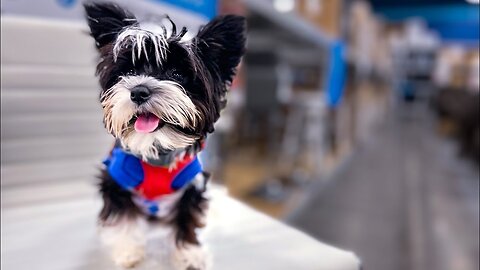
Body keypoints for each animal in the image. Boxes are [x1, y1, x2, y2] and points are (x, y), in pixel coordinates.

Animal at [84, 1, 246, 268]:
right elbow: (124, 217)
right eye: (130, 70)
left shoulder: (193, 186)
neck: (157, 150)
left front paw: (190, 253)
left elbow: (188, 220)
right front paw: (128, 250)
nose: (139, 91)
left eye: (177, 74)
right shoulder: (115, 180)